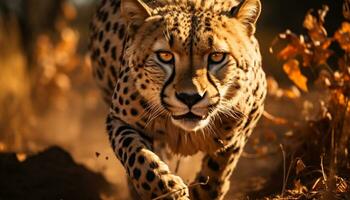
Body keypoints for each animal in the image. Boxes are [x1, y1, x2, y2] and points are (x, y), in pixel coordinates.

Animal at [89, 0, 266, 198]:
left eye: (217, 56)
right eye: (165, 56)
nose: (190, 97)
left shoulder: (243, 125)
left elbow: (219, 167)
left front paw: (202, 191)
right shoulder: (119, 119)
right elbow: (138, 157)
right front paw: (169, 190)